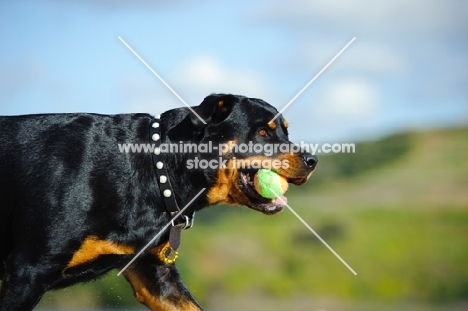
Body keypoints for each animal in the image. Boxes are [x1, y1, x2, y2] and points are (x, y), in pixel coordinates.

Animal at [0, 94, 316, 310]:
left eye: (286, 131)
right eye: (263, 132)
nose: (313, 160)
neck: (155, 168)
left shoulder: (155, 274)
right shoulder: (28, 272)